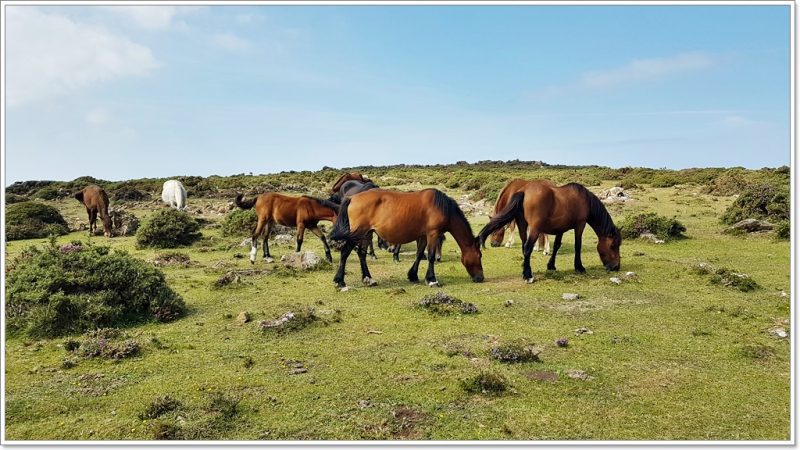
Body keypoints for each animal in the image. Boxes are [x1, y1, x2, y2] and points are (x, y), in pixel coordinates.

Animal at [330, 187, 484, 286]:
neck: (442, 207)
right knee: (345, 252)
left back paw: (368, 278)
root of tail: (352, 198)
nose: (480, 277)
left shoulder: (423, 236)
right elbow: (431, 256)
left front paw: (413, 275)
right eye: (479, 256)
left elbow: (419, 254)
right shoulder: (432, 233)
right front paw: (432, 279)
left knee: (361, 254)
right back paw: (340, 281)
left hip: (366, 233)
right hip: (358, 233)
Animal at [478, 180, 620, 284]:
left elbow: (556, 246)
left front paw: (551, 265)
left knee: (524, 246)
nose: (616, 267)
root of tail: (523, 191)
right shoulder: (580, 225)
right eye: (613, 246)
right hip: (534, 228)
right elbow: (577, 246)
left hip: (523, 226)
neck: (584, 200)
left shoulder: (561, 229)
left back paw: (525, 269)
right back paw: (528, 275)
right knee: (527, 248)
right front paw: (579, 267)